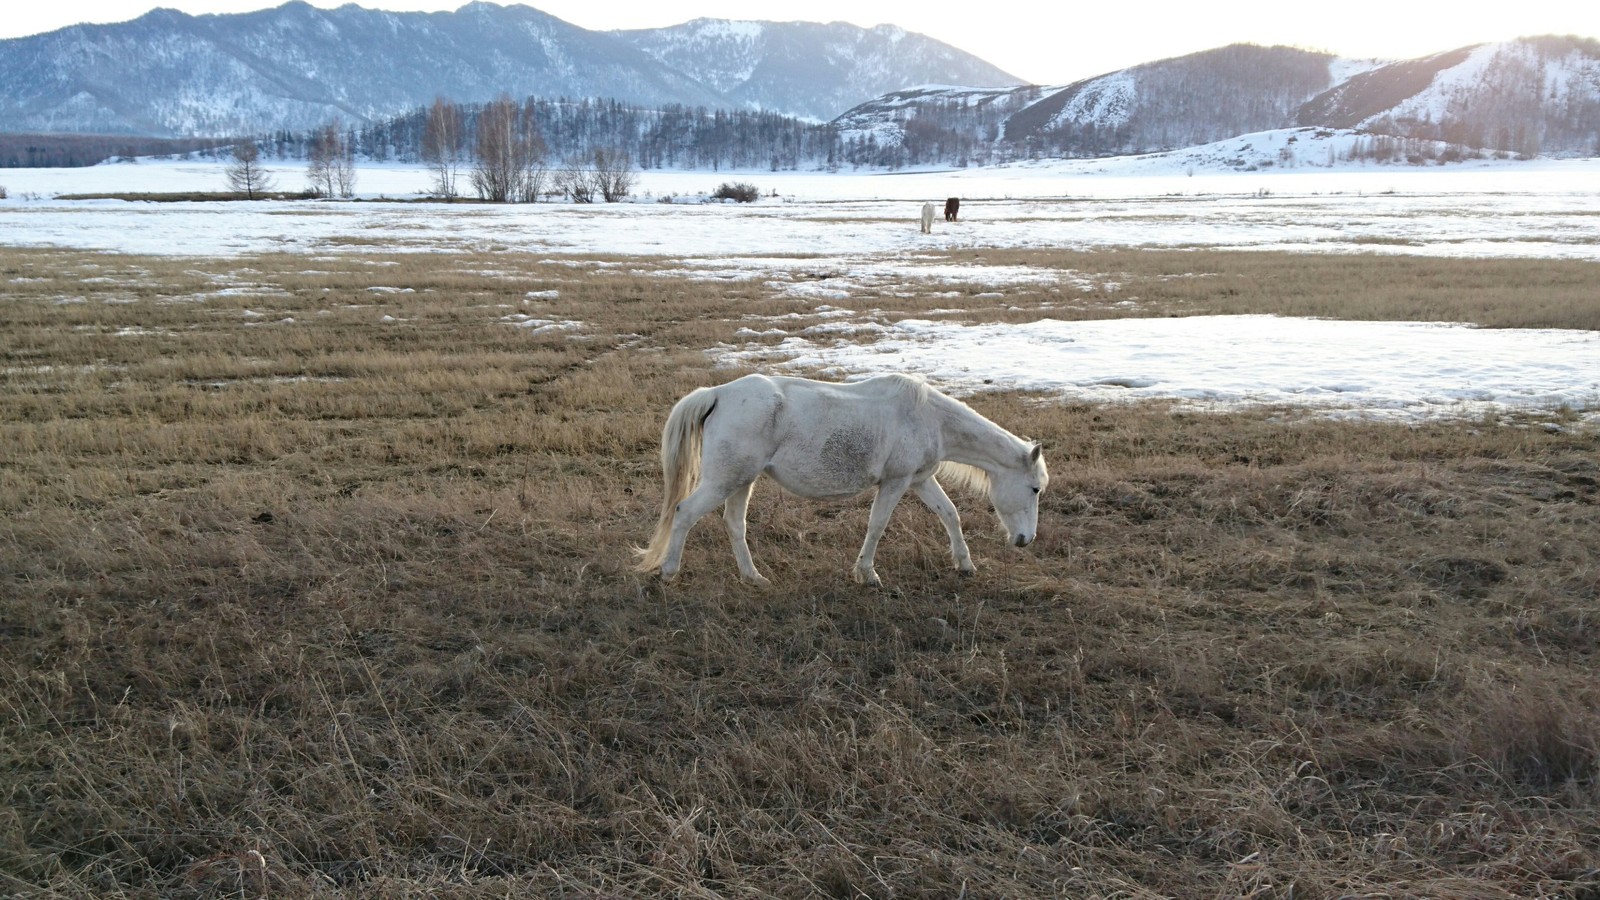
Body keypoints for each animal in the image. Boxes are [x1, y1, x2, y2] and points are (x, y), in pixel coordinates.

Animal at [636, 369, 1049, 586]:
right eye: (1034, 489)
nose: (1026, 540)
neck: (928, 417)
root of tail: (718, 394)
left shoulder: (919, 480)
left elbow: (950, 514)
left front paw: (964, 563)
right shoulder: (896, 483)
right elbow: (877, 526)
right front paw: (867, 573)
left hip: (742, 481)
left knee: (734, 525)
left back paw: (754, 577)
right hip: (724, 481)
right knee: (685, 513)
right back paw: (669, 572)